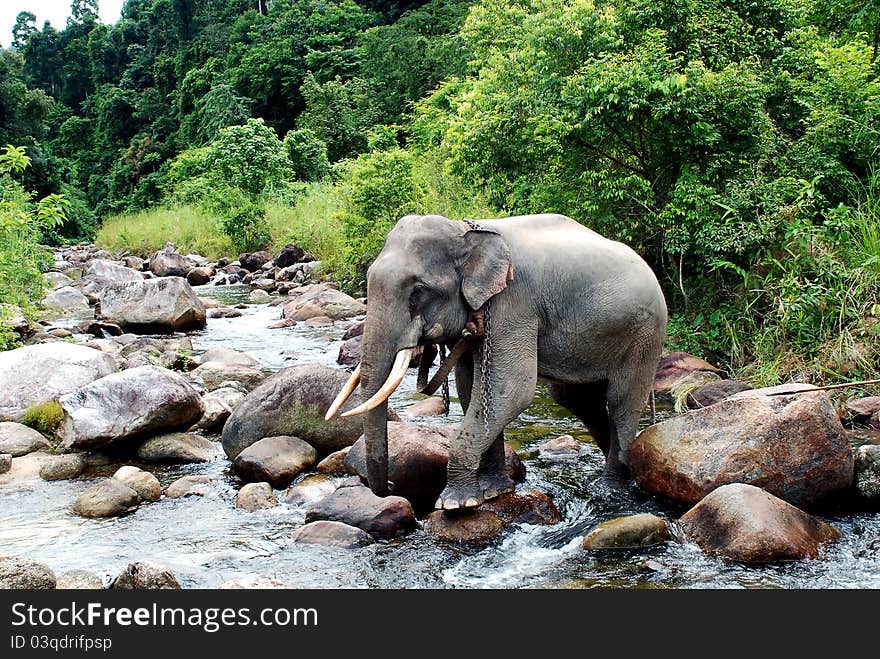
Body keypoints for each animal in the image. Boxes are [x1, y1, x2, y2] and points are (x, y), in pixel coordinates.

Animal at [324, 214, 668, 512]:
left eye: (418, 290)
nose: (391, 489)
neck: (466, 231)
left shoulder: (513, 304)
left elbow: (511, 389)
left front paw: (456, 504)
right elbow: (470, 388)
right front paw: (493, 492)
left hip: (644, 334)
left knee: (621, 400)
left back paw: (611, 488)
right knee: (575, 399)